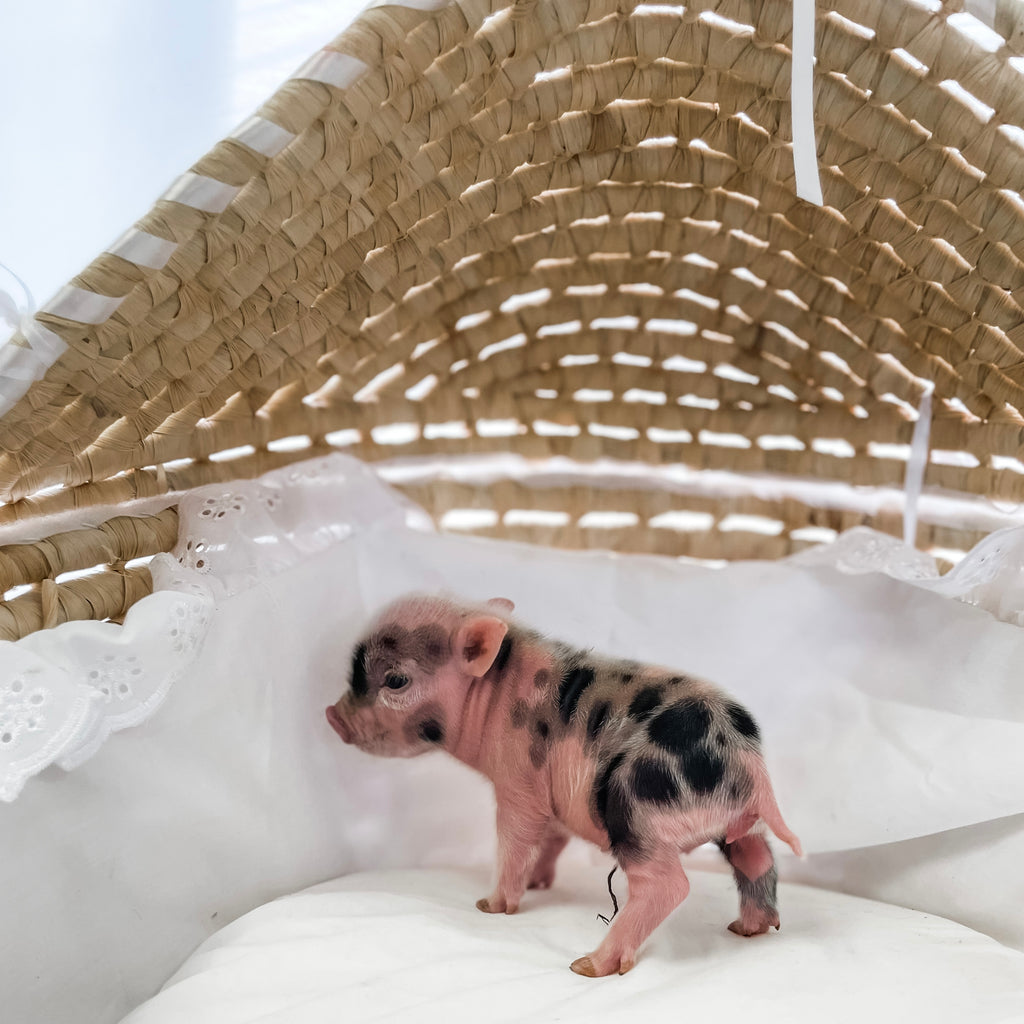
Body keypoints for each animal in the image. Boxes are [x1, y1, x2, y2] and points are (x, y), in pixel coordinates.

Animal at [325, 592, 801, 978]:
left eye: (396, 680)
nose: (331, 715)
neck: (494, 697)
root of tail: (749, 761)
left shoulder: (518, 783)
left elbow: (514, 840)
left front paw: (490, 905)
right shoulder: (550, 799)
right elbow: (550, 838)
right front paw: (539, 885)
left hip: (633, 809)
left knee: (668, 885)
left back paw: (587, 965)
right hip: (735, 821)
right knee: (757, 857)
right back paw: (749, 929)